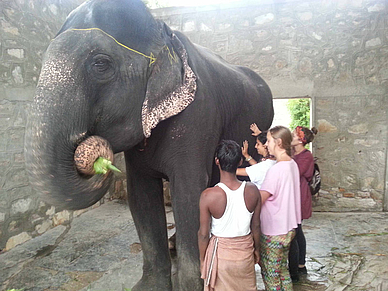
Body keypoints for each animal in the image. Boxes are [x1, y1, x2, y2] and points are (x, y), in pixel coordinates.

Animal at [25, 0, 272, 290]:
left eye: (100, 64)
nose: (98, 161)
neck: (163, 31)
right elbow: (141, 196)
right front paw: (151, 285)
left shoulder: (197, 115)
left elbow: (188, 194)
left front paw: (193, 283)